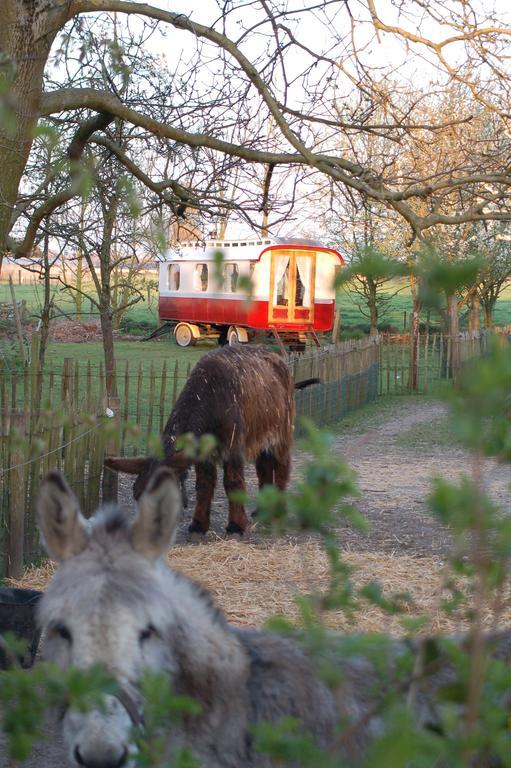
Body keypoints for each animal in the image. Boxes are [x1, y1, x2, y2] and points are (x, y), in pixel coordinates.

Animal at [105, 346, 296, 536]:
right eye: (136, 495)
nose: (147, 532)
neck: (210, 395)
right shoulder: (202, 451)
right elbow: (204, 484)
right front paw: (198, 524)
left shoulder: (232, 447)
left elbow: (233, 483)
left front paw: (236, 525)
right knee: (264, 467)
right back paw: (263, 509)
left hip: (282, 432)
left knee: (281, 467)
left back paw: (278, 510)